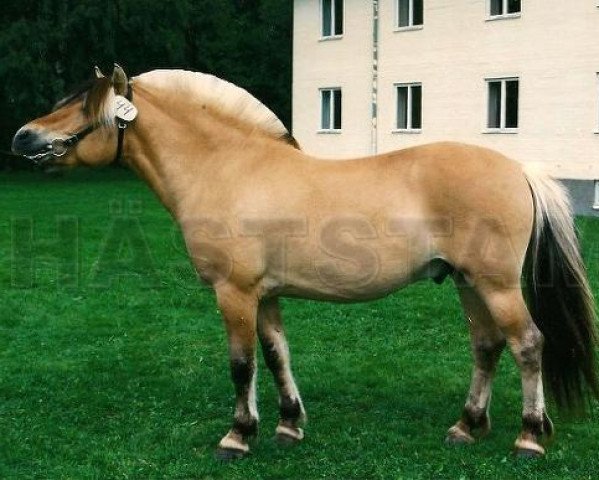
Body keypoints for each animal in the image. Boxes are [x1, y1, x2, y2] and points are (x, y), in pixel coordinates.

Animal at [11, 65, 596, 460]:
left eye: (84, 106)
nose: (23, 136)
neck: (227, 168)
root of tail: (519, 168)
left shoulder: (235, 293)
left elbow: (242, 364)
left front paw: (237, 435)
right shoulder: (266, 294)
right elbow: (276, 356)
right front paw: (288, 425)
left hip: (497, 285)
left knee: (527, 345)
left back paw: (528, 436)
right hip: (467, 283)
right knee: (487, 346)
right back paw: (467, 426)